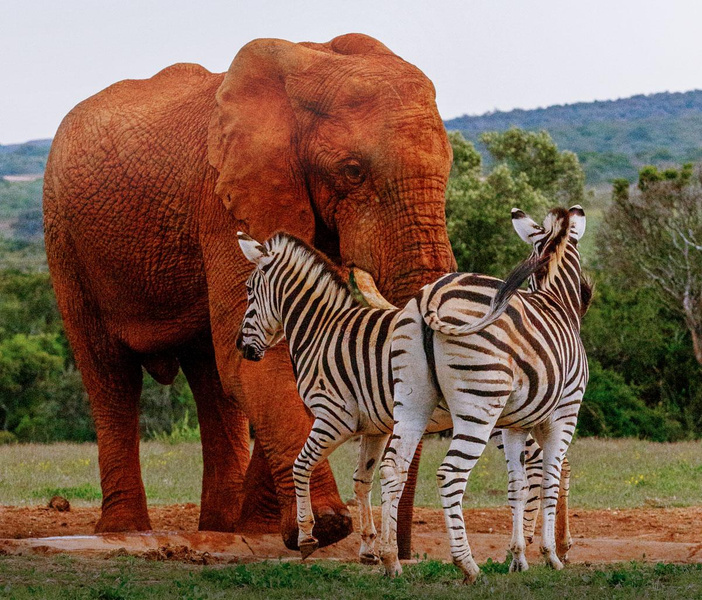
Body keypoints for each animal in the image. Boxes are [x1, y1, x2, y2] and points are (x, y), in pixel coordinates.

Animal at [44, 31, 456, 548]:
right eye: (353, 171)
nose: (399, 548)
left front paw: (273, 530)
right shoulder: (225, 202)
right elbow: (256, 361)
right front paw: (325, 527)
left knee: (209, 380)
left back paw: (222, 527)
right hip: (65, 240)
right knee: (111, 374)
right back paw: (125, 531)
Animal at [382, 205, 592, 580]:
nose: (587, 298)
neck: (556, 302)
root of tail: (432, 296)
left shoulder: (514, 425)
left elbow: (519, 486)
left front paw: (518, 558)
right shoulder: (565, 413)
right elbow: (549, 481)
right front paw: (550, 556)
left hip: (411, 399)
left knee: (393, 468)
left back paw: (391, 561)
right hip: (478, 404)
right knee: (450, 474)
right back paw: (467, 565)